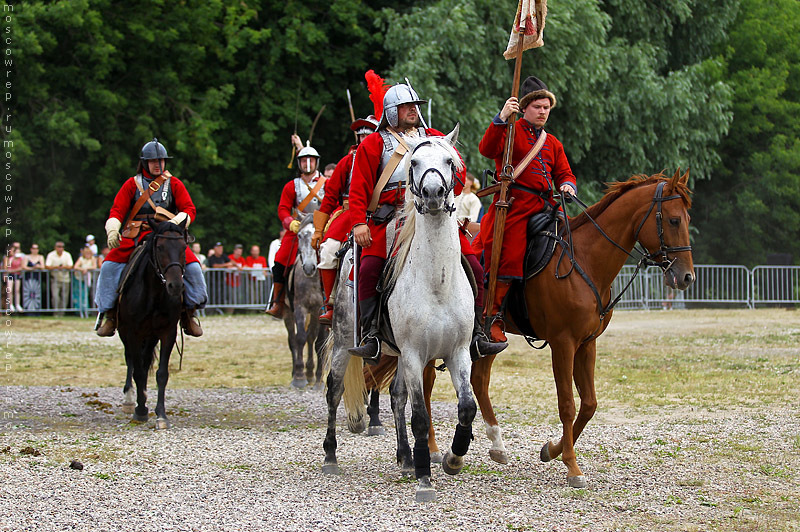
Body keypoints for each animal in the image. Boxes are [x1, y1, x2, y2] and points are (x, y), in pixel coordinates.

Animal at [364, 169, 692, 486]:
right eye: (673, 220)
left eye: (687, 218)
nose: (686, 277)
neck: (584, 259)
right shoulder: (563, 343)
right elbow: (567, 404)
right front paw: (572, 467)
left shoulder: (587, 343)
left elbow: (589, 404)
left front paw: (552, 450)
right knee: (429, 386)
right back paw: (432, 448)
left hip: (487, 337)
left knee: (479, 381)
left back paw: (496, 444)